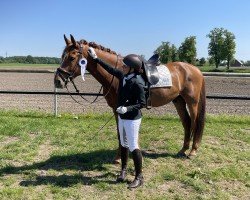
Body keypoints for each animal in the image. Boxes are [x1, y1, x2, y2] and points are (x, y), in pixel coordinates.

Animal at [54, 35, 205, 162]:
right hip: (178, 100)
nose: (57, 81)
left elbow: (122, 133)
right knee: (187, 123)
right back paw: (183, 150)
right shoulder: (116, 109)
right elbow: (120, 132)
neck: (117, 75)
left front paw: (120, 157)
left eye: (72, 58)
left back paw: (192, 151)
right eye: (62, 56)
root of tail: (195, 69)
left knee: (195, 122)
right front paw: (119, 156)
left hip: (192, 102)